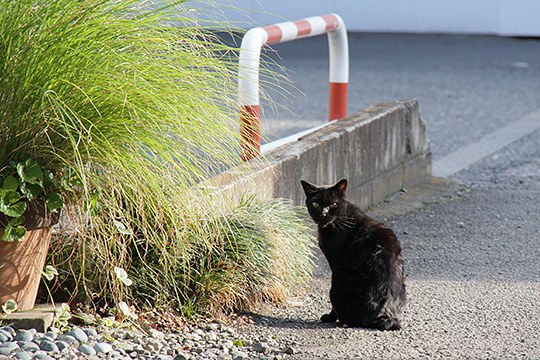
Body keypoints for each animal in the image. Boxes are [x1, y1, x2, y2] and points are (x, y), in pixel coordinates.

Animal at [300, 179, 404, 330]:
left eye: (333, 204)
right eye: (315, 204)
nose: (323, 214)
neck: (341, 220)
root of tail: (382, 313)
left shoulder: (335, 262)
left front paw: (329, 317)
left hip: (336, 284)